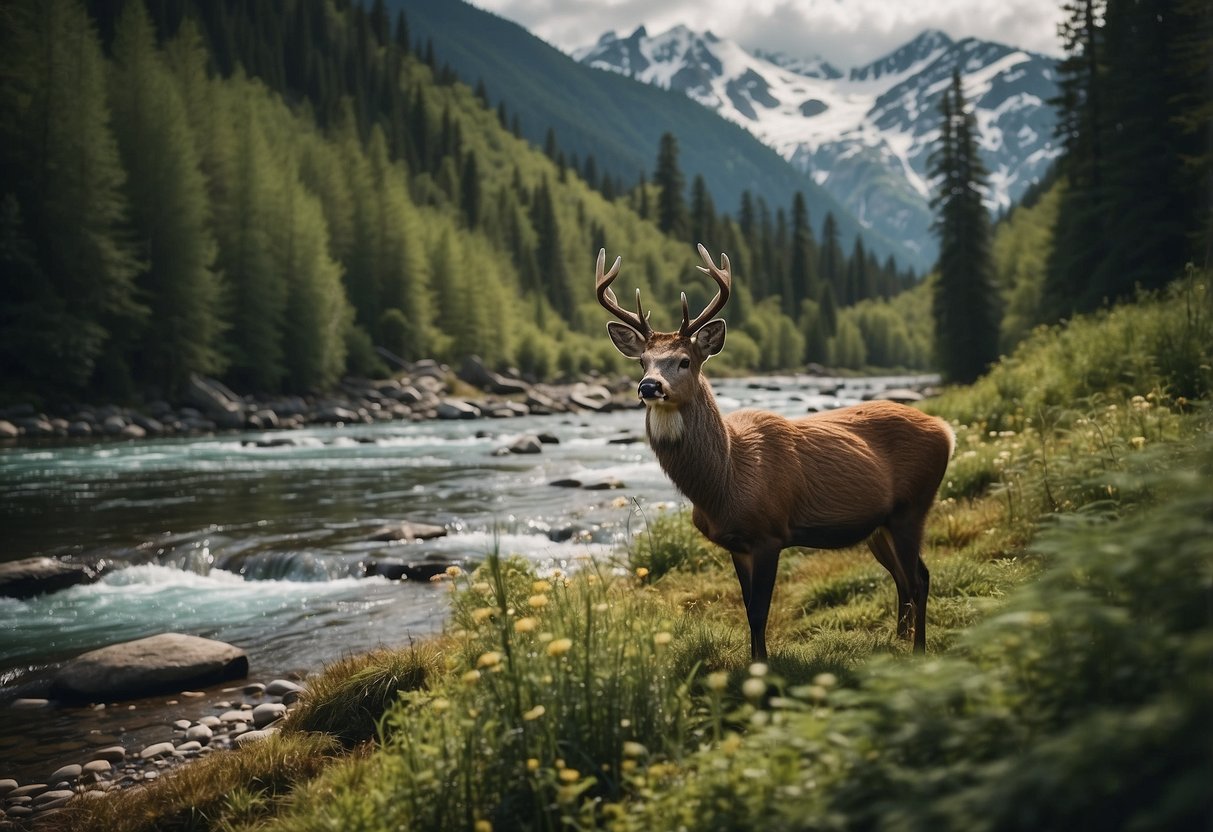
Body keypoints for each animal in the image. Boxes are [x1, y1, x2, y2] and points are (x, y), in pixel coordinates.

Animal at [599, 244, 955, 659]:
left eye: (684, 361)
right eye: (643, 361)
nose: (648, 386)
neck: (724, 481)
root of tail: (946, 430)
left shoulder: (769, 533)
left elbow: (759, 610)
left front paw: (763, 665)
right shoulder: (736, 543)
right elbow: (747, 608)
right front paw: (755, 660)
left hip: (913, 506)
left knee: (919, 578)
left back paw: (919, 650)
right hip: (879, 524)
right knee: (903, 576)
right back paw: (898, 640)